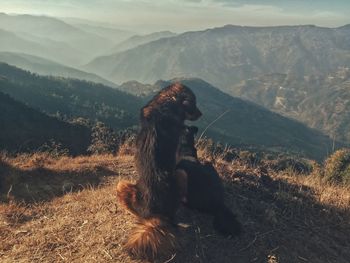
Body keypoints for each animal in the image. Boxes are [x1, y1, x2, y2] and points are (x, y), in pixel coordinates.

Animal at [117, 83, 201, 260]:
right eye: (194, 104)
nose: (201, 113)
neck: (166, 103)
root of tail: (155, 215)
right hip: (181, 174)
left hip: (122, 184)